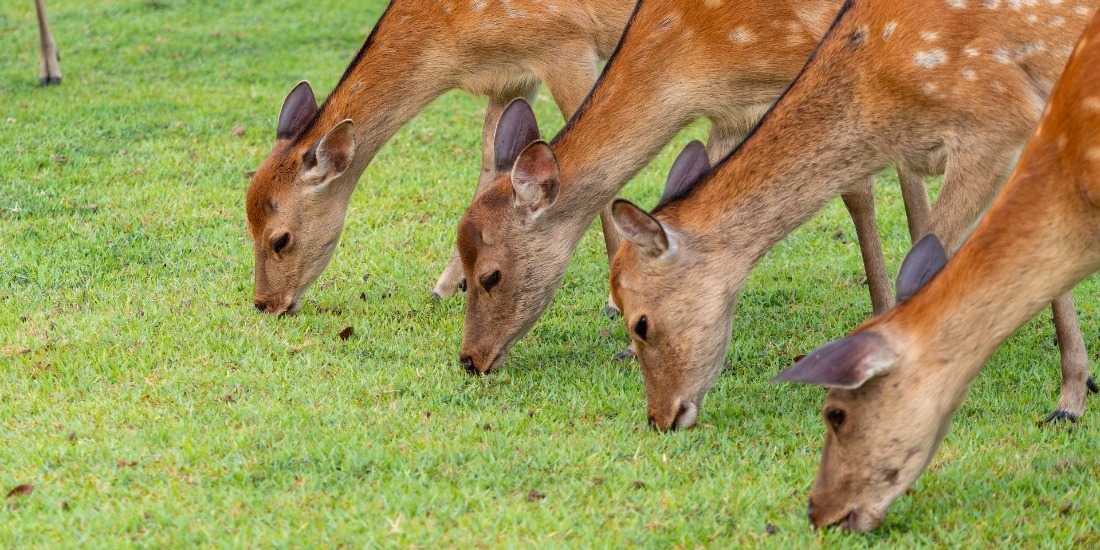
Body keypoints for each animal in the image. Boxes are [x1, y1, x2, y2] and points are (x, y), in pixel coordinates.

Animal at [244, 0, 633, 316]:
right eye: (247, 227)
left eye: (280, 239)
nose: (264, 304)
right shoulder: (510, 76)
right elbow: (491, 159)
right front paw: (443, 288)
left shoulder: (567, 42)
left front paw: (614, 304)